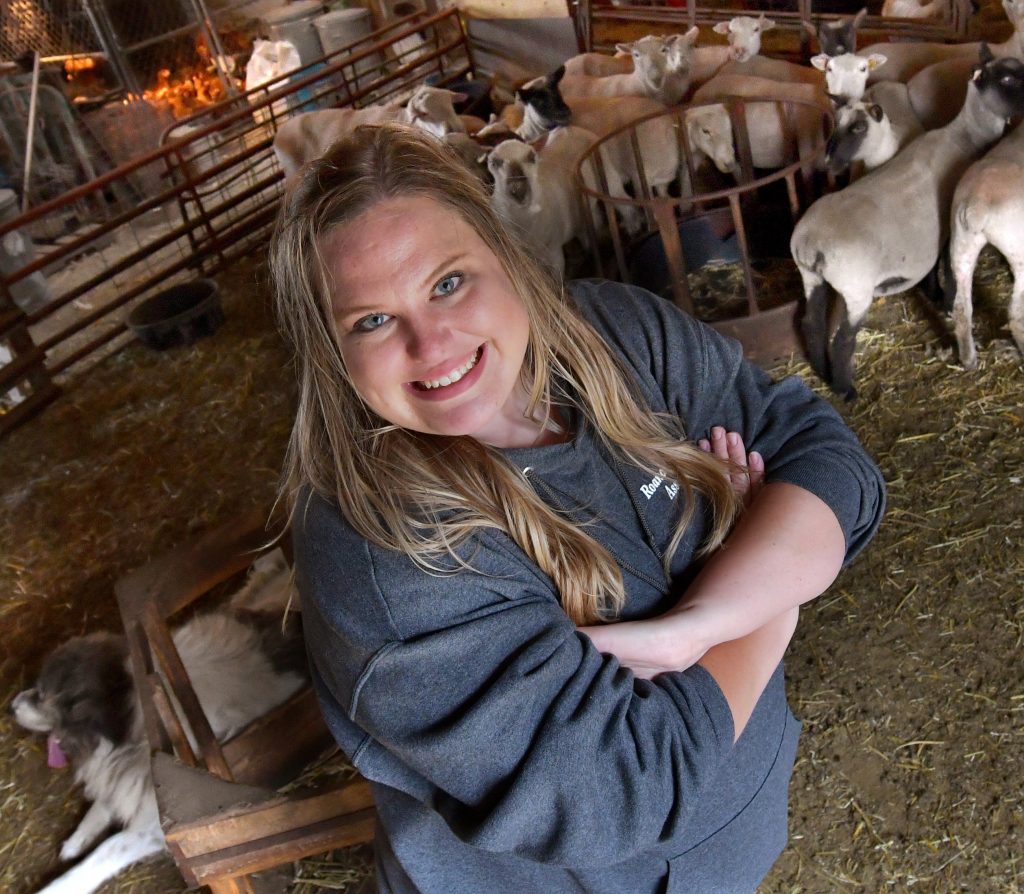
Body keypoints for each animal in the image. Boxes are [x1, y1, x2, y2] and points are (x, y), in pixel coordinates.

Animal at [9, 548, 305, 892]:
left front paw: (61, 884)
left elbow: (105, 851)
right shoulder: (124, 775)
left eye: (42, 693)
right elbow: (104, 801)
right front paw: (76, 839)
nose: (11, 706)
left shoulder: (152, 821)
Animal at [942, 120, 1024, 368]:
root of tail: (977, 203)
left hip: (961, 244)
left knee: (961, 308)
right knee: (1016, 314)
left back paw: (969, 360)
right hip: (1020, 248)